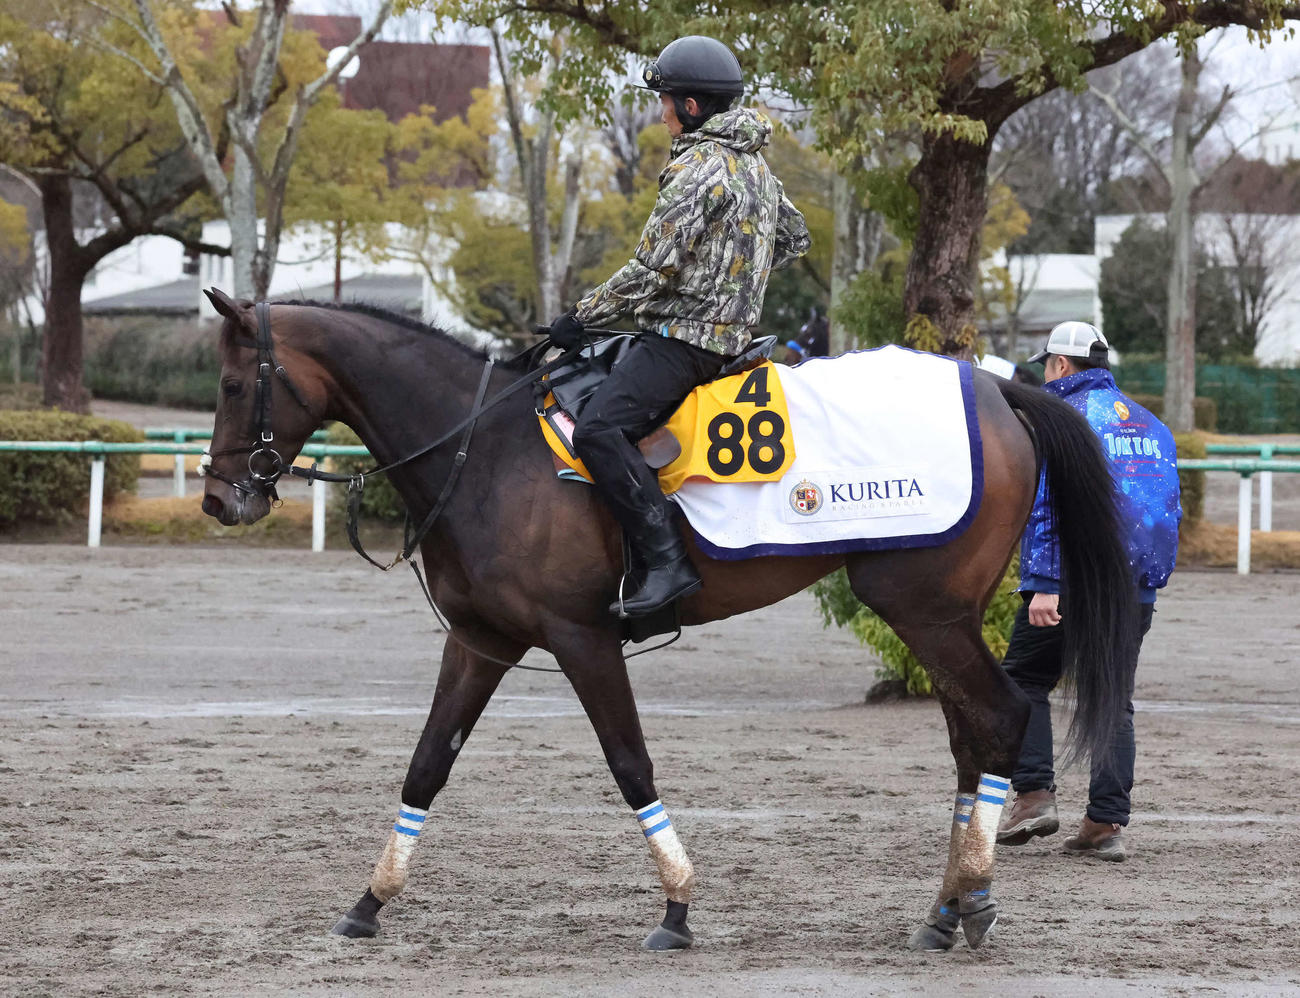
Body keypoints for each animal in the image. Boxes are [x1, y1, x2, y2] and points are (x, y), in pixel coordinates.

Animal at [198, 288, 1136, 952]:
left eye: (235, 384)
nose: (217, 500)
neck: (484, 450)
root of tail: (998, 390)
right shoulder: (481, 642)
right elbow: (428, 766)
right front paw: (369, 902)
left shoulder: (581, 640)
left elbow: (630, 764)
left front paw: (678, 906)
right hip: (941, 616)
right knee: (973, 737)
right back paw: (950, 907)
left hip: (922, 609)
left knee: (999, 718)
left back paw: (966, 899)